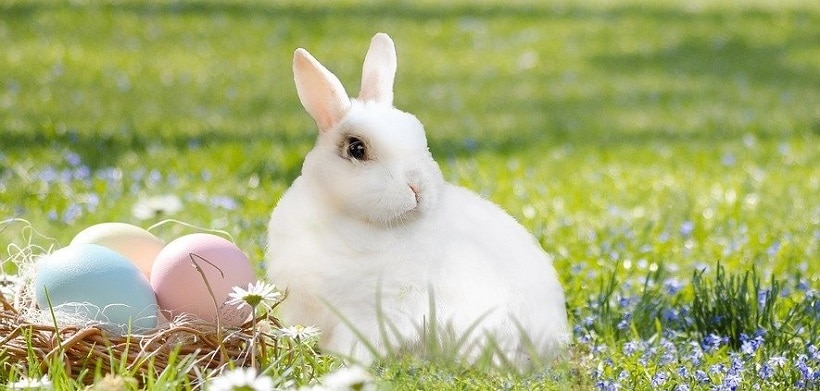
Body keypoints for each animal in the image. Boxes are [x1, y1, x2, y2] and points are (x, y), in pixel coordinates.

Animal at [266, 33, 568, 368]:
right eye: (356, 149)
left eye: (420, 139)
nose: (417, 186)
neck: (344, 216)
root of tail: (551, 340)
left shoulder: (375, 312)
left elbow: (355, 344)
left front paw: (342, 364)